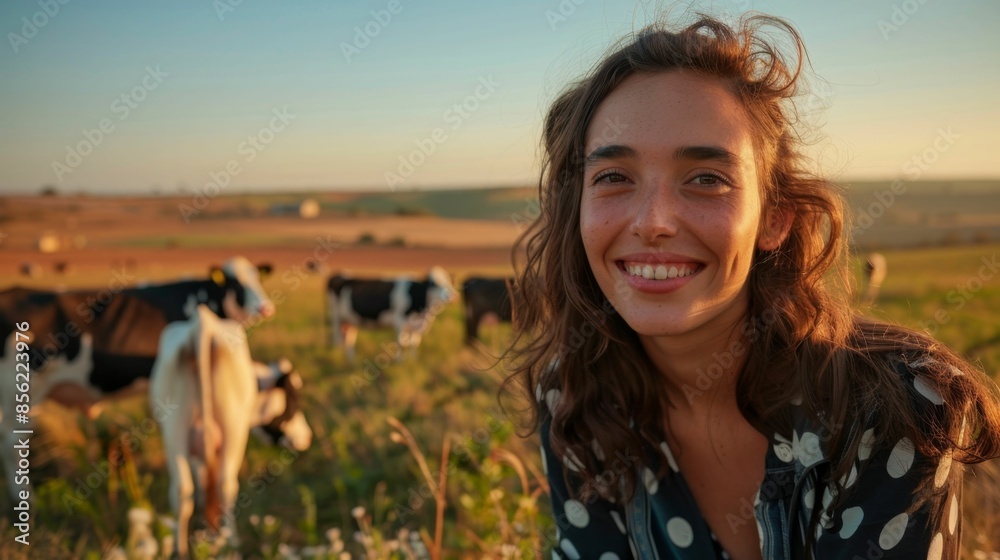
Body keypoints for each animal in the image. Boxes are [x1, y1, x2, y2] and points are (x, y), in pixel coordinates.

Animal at [151, 306, 256, 560]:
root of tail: (201, 323)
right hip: (234, 430)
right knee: (225, 485)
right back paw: (232, 544)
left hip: (175, 431)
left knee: (185, 489)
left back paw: (182, 551)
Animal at [326, 266, 456, 364]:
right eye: (434, 283)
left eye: (449, 281)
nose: (452, 296)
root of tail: (338, 275)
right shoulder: (399, 321)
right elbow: (402, 344)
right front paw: (401, 364)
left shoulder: (417, 325)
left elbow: (414, 343)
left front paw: (413, 361)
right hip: (335, 317)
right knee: (338, 340)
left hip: (350, 321)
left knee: (348, 340)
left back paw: (352, 362)